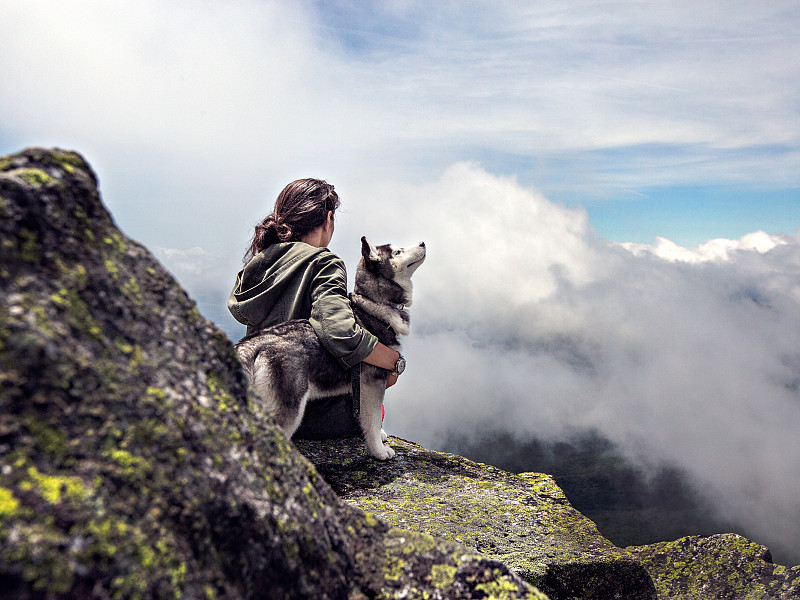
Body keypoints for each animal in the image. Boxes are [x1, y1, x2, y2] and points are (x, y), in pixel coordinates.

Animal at [236, 236, 428, 460]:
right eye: (398, 252)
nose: (423, 242)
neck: (373, 305)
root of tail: (253, 343)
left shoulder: (360, 387)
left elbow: (367, 417)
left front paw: (379, 436)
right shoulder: (373, 381)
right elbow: (372, 419)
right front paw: (379, 451)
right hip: (289, 408)